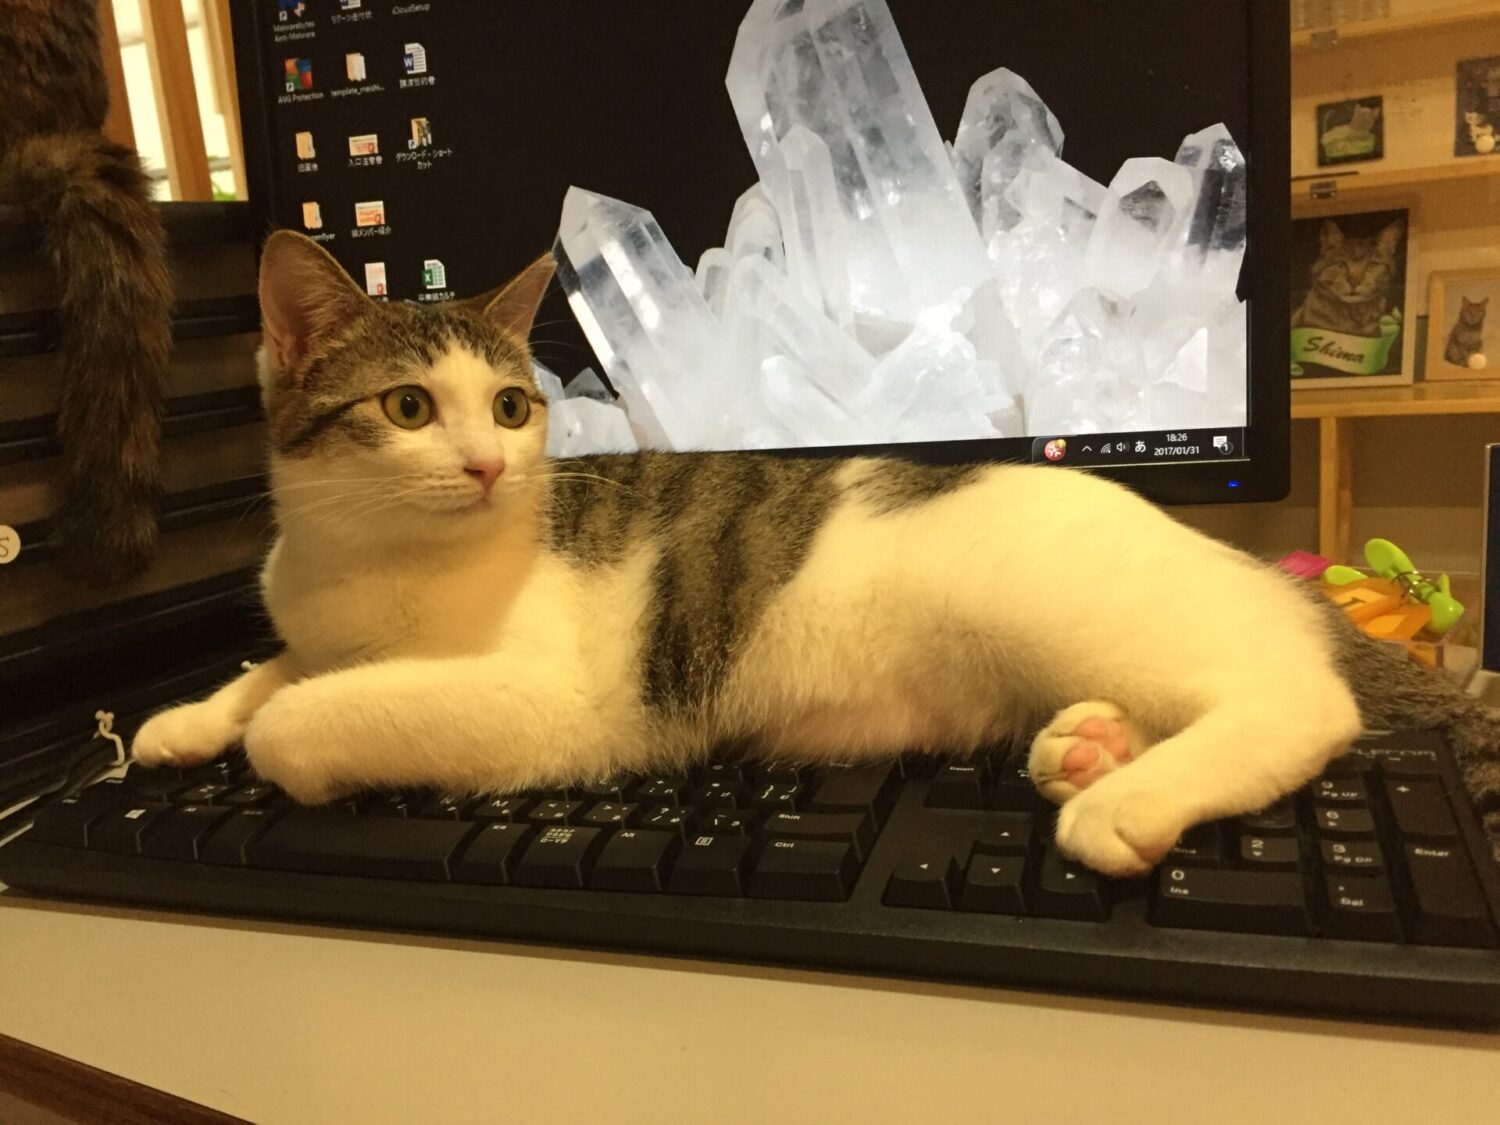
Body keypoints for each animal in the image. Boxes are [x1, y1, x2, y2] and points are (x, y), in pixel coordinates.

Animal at [129, 232, 1500, 874]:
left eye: (511, 408)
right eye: (412, 407)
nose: (486, 467)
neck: (361, 560)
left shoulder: (550, 704)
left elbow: (299, 719)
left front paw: (266, 737)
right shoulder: (316, 617)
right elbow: (276, 669)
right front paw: (182, 719)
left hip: (1090, 614)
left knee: (1295, 703)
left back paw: (1124, 801)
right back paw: (1091, 746)